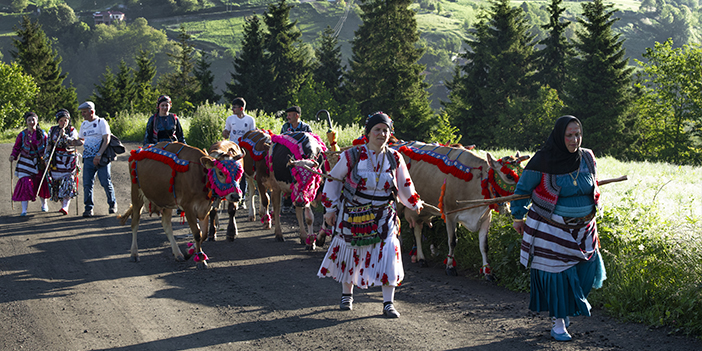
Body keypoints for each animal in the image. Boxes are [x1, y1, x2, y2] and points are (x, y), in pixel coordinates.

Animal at [396, 141, 528, 280]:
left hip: (420, 210)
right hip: (399, 204)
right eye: (509, 175)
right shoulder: (450, 214)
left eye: (523, 169)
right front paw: (450, 267)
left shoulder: (485, 217)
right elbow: (452, 241)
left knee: (417, 229)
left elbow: (484, 246)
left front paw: (488, 272)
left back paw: (421, 258)